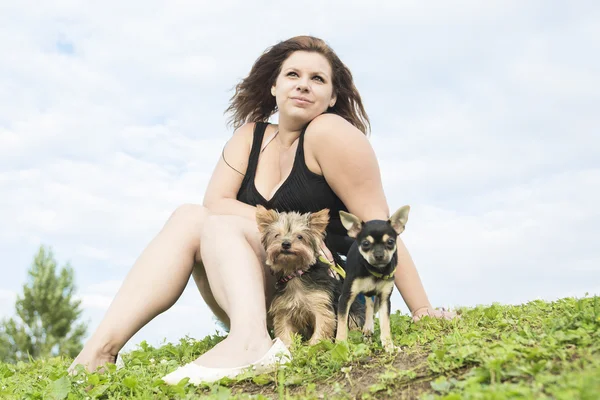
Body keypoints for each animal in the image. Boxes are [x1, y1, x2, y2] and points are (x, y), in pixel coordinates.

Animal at [256, 206, 364, 346]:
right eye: (277, 235)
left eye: (300, 236)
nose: (285, 243)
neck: (296, 274)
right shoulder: (284, 309)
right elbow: (283, 330)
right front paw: (287, 347)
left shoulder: (321, 304)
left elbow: (321, 328)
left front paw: (314, 346)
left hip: (352, 313)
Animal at [336, 206, 410, 354]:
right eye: (365, 244)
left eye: (390, 242)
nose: (379, 255)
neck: (374, 271)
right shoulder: (346, 297)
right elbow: (342, 322)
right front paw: (340, 344)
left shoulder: (384, 298)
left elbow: (385, 323)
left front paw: (389, 345)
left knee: (370, 306)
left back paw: (368, 328)